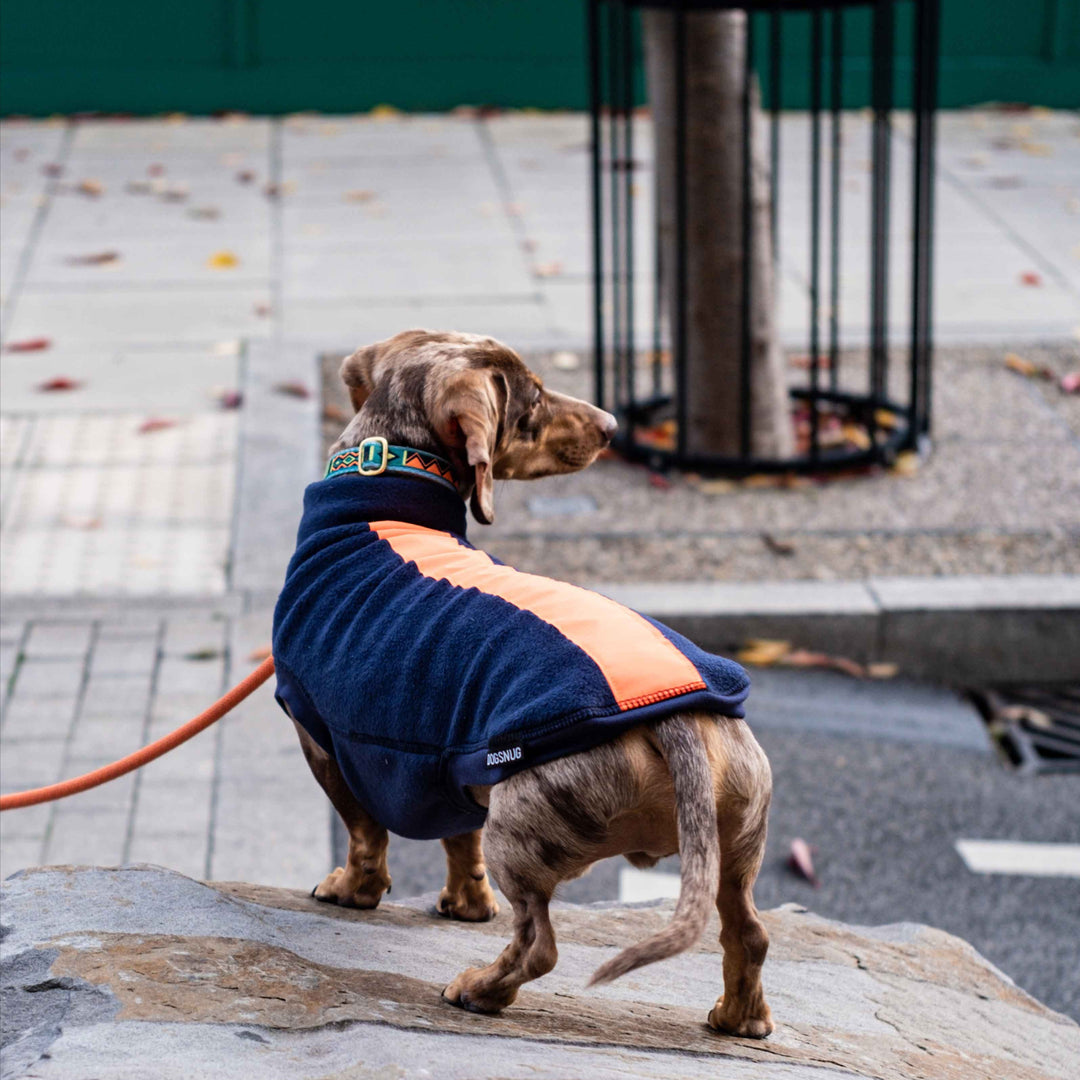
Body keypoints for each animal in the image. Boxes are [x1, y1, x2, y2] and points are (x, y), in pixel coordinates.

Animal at [282, 328, 773, 1036]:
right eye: (534, 399)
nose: (612, 425)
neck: (383, 496)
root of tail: (677, 714)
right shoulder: (450, 759)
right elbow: (458, 841)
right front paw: (465, 903)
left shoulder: (326, 739)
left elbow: (365, 833)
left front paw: (351, 890)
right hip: (736, 847)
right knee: (749, 932)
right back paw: (739, 1018)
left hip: (518, 823)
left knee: (539, 946)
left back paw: (479, 988)